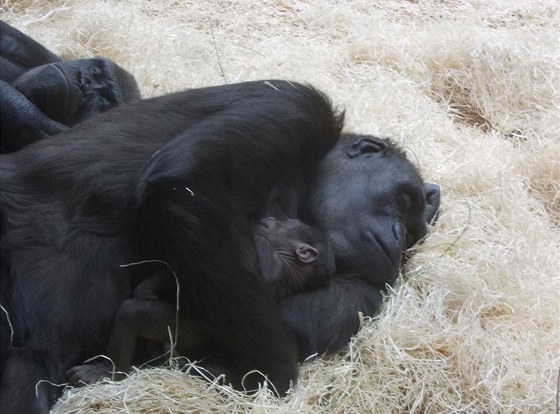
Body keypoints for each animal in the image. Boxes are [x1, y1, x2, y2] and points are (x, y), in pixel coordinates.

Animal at [67, 217, 334, 384]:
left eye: (286, 223)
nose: (273, 218)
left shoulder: (273, 258)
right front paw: (148, 289)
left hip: (188, 332)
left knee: (133, 314)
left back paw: (108, 371)